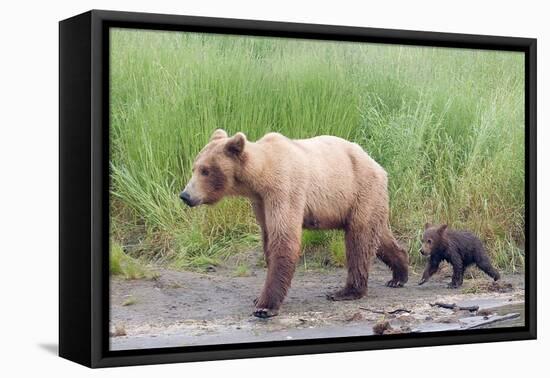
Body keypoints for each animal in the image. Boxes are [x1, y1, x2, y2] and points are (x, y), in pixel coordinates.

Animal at [181, 129, 410, 316]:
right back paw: (399, 274)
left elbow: (284, 238)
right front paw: (259, 298)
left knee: (359, 240)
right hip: (363, 200)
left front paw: (264, 306)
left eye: (206, 170)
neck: (259, 177)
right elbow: (268, 238)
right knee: (377, 235)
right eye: (194, 167)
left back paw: (347, 291)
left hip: (359, 190)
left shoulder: (284, 189)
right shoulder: (260, 202)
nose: (185, 195)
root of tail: (377, 165)